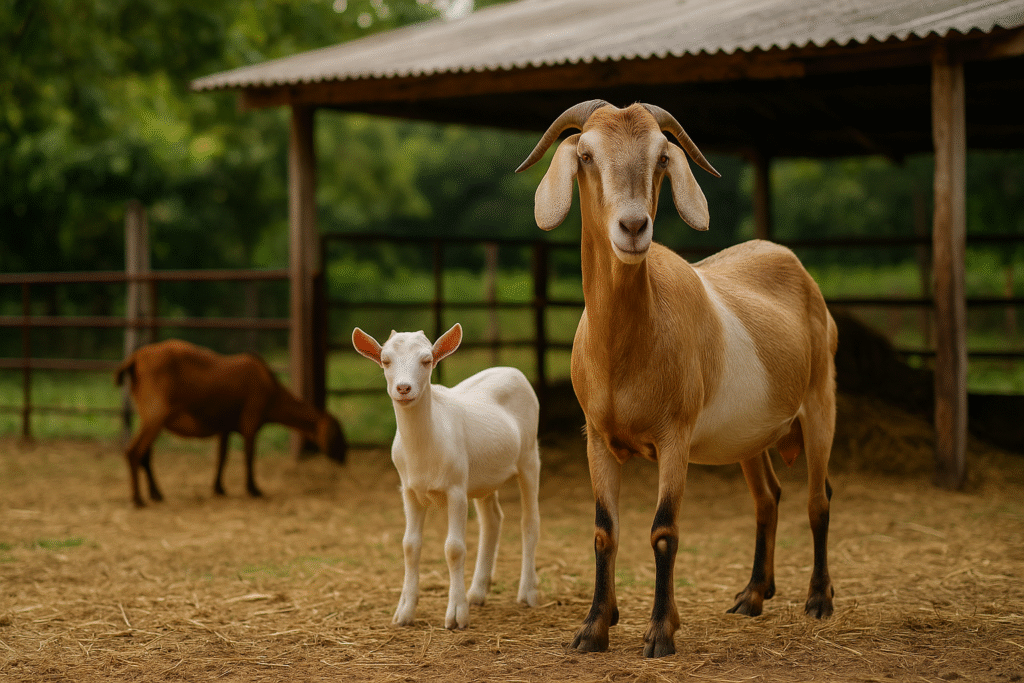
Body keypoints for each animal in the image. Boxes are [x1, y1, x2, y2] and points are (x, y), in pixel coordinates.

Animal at [115, 339, 347, 507]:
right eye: (338, 434)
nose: (344, 458)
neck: (273, 392)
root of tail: (136, 358)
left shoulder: (225, 427)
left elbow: (222, 456)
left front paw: (219, 488)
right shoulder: (251, 420)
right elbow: (249, 457)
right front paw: (253, 489)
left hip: (151, 417)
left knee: (144, 455)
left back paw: (156, 494)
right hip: (155, 414)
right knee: (134, 452)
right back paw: (138, 500)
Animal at [352, 323, 541, 630]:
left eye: (427, 360)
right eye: (385, 360)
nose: (403, 388)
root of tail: (512, 370)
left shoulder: (456, 489)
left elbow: (454, 548)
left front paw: (456, 615)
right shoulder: (409, 490)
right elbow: (409, 545)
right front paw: (404, 613)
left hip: (529, 456)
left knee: (529, 521)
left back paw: (528, 593)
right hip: (482, 477)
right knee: (492, 521)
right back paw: (477, 593)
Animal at [517, 101, 837, 658]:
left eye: (662, 157)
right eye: (585, 155)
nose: (633, 227)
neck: (627, 346)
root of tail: (796, 267)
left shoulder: (675, 436)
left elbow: (663, 530)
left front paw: (661, 633)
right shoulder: (595, 436)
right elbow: (604, 531)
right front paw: (594, 627)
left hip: (821, 401)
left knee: (818, 500)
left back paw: (818, 600)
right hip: (749, 435)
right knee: (768, 497)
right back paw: (753, 595)